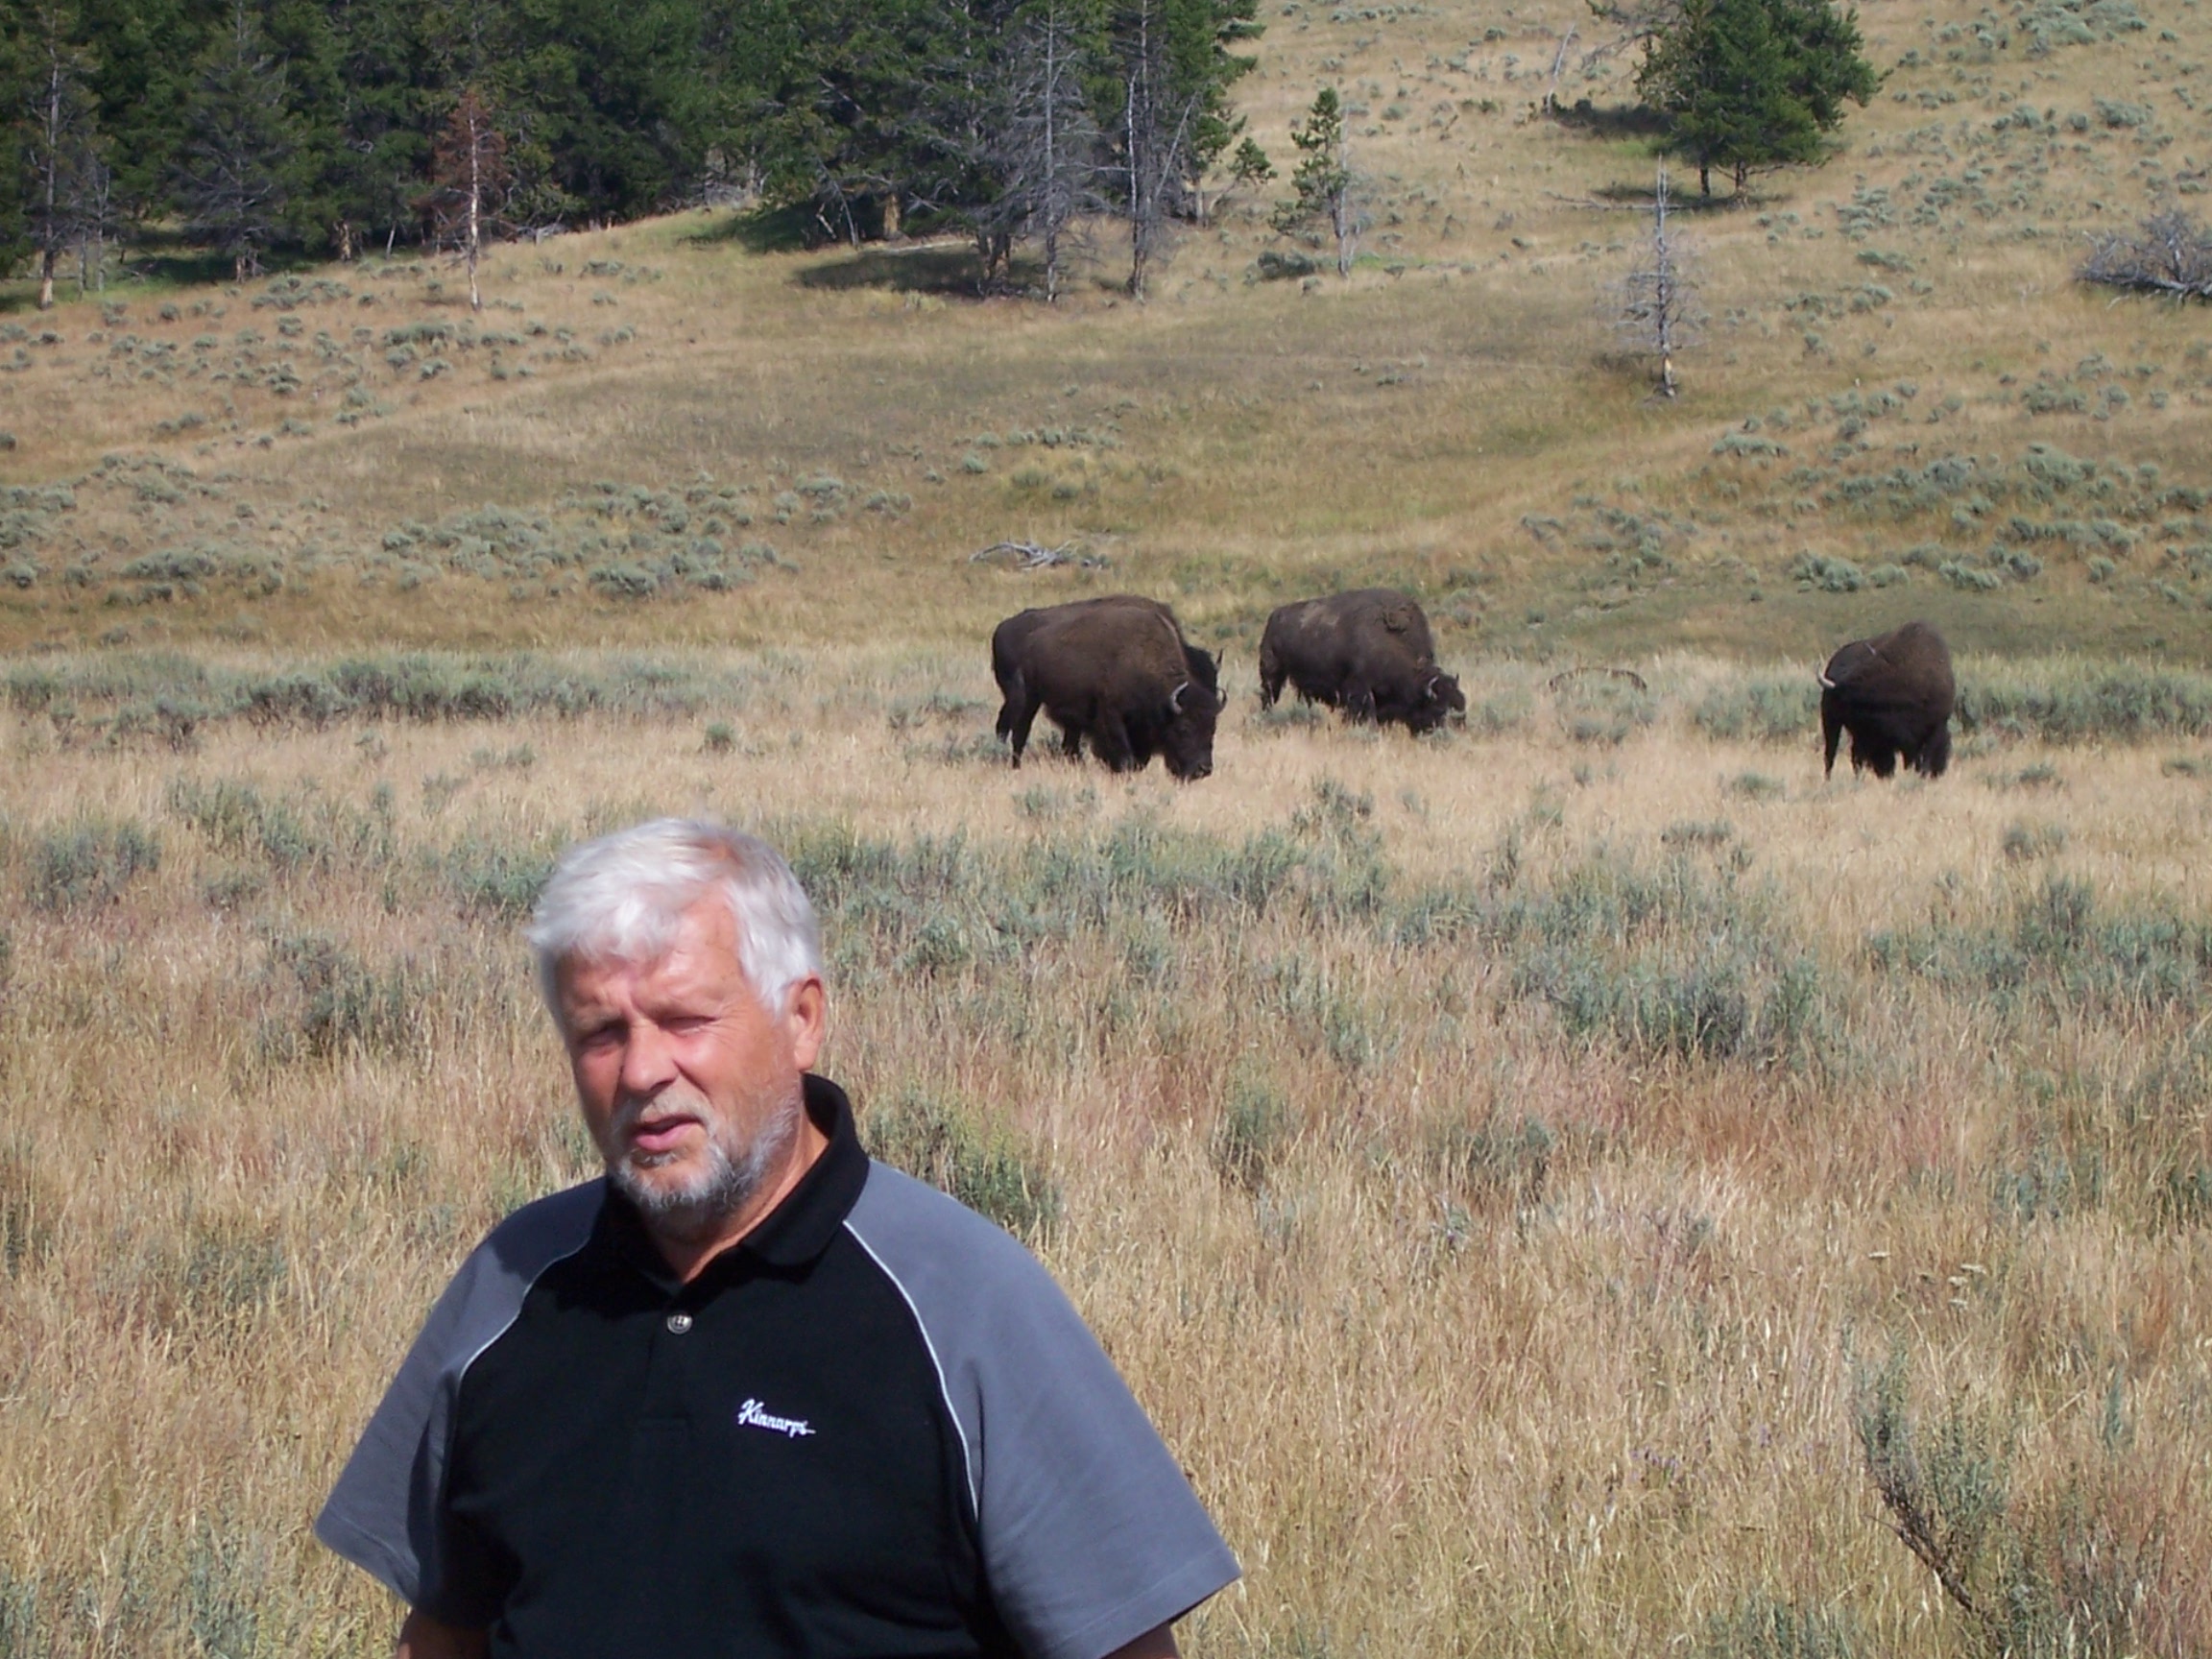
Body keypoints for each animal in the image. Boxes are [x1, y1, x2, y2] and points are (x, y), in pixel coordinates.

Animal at [991, 597, 1220, 779]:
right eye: (1184, 728)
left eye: (1212, 728)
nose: (1203, 770)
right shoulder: (1112, 716)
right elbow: (1122, 753)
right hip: (1027, 698)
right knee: (1018, 731)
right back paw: (1013, 765)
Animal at [1264, 592, 1468, 733]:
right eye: (1439, 709)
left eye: (1462, 703)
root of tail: (1275, 615)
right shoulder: (1360, 691)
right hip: (1272, 674)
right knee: (1269, 697)